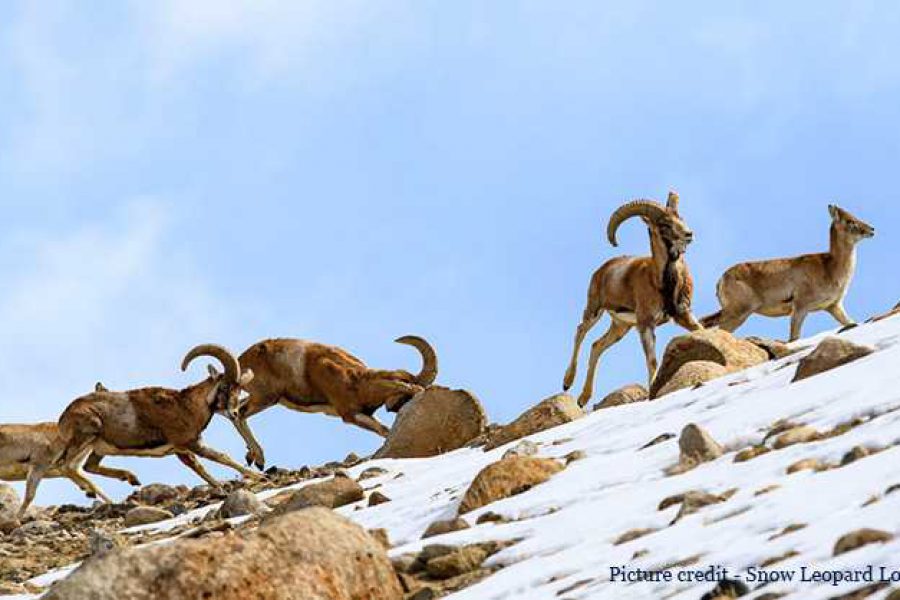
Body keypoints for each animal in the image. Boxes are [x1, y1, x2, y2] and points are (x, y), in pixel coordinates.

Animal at [210, 332, 436, 468]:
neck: (356, 380)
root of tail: (242, 361)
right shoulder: (350, 415)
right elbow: (384, 430)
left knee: (233, 412)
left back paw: (252, 457)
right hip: (265, 398)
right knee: (239, 414)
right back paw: (259, 459)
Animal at [564, 195, 704, 406]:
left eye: (680, 217)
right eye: (664, 224)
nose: (689, 234)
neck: (663, 282)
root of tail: (602, 269)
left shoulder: (684, 315)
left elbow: (701, 331)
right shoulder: (646, 324)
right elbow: (652, 360)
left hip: (621, 327)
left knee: (597, 346)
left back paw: (583, 398)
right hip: (595, 310)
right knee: (581, 332)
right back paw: (567, 383)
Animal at [700, 204, 876, 340]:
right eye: (849, 220)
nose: (871, 229)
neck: (830, 269)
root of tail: (721, 280)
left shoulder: (834, 307)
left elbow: (849, 321)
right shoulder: (800, 307)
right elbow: (794, 337)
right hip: (739, 312)